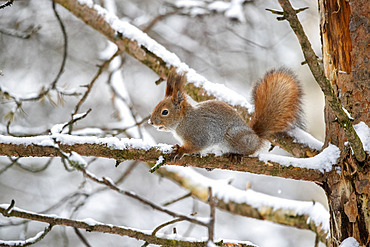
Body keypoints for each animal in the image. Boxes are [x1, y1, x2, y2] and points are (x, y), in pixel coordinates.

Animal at [148, 67, 304, 160]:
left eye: (165, 112)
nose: (151, 122)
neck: (183, 121)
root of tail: (256, 136)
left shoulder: (200, 134)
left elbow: (195, 145)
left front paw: (180, 150)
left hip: (234, 136)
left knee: (250, 150)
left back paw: (237, 155)